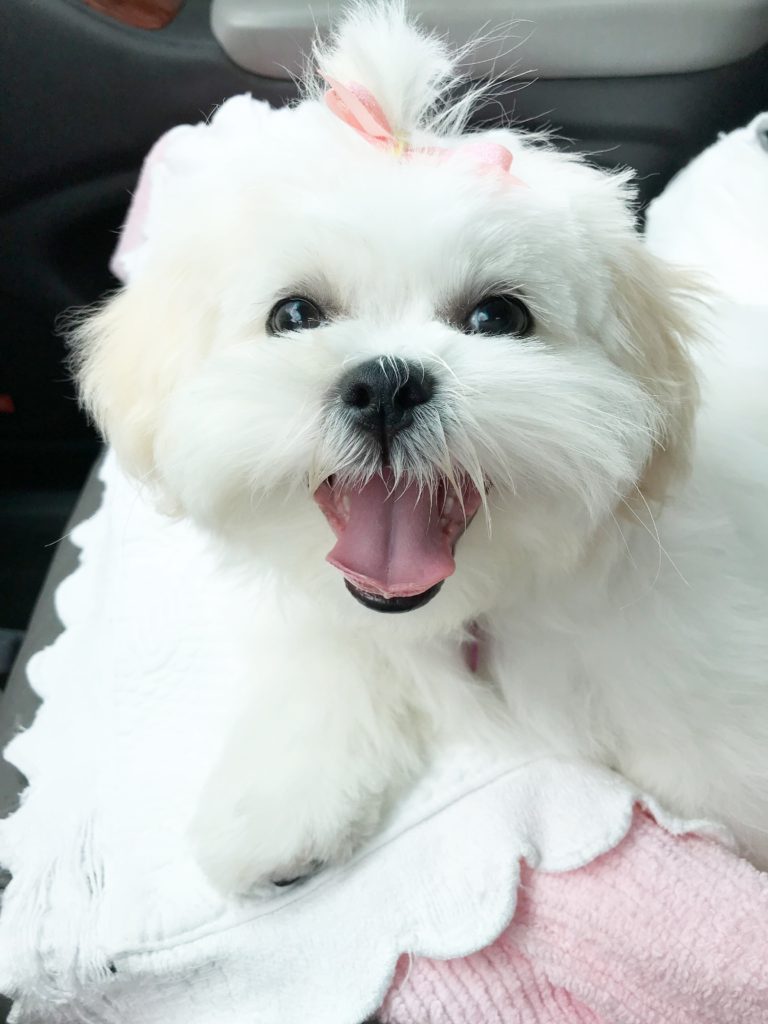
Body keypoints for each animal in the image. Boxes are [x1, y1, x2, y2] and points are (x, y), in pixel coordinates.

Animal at [70, 4, 768, 892]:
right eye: (294, 314)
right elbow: (336, 648)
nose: (386, 384)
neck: (486, 596)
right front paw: (277, 799)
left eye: (497, 316)